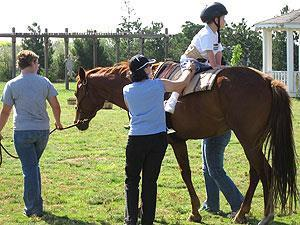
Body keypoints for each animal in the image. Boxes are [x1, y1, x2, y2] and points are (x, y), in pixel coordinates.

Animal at [74, 61, 298, 225]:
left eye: (77, 93)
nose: (78, 122)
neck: (145, 80)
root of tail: (268, 81)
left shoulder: (173, 141)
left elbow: (181, 173)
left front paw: (192, 212)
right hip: (252, 142)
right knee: (255, 173)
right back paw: (241, 213)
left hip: (249, 141)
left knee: (266, 172)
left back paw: (266, 215)